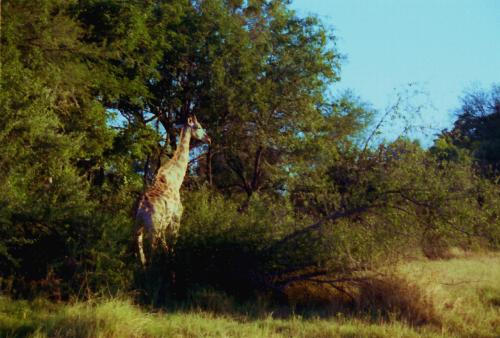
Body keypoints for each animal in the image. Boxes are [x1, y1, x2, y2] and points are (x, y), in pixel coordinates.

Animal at [134, 115, 210, 266]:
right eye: (198, 126)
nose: (209, 139)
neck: (175, 179)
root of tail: (141, 211)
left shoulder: (166, 222)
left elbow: (166, 246)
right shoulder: (176, 217)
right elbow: (172, 245)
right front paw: (172, 263)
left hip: (138, 228)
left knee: (141, 253)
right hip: (153, 228)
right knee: (151, 253)